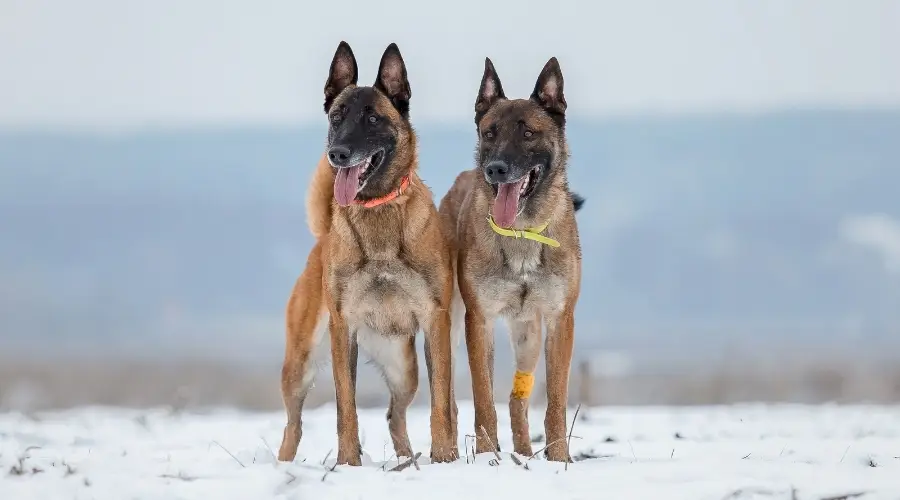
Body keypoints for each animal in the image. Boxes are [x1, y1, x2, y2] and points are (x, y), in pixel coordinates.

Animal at [278, 41, 460, 466]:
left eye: (373, 118)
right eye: (337, 117)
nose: (338, 153)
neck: (378, 210)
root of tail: (322, 238)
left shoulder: (435, 324)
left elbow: (441, 404)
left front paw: (445, 458)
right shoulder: (343, 330)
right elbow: (347, 407)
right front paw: (348, 464)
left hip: (403, 368)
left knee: (396, 414)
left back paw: (408, 461)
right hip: (300, 365)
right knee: (292, 426)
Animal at [436, 55, 584, 464]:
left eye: (529, 134)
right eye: (490, 133)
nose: (496, 169)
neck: (521, 231)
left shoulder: (559, 321)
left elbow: (555, 403)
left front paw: (559, 459)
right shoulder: (478, 321)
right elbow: (483, 401)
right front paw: (488, 457)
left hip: (528, 334)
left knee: (518, 400)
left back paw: (525, 453)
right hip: (451, 329)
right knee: (451, 401)